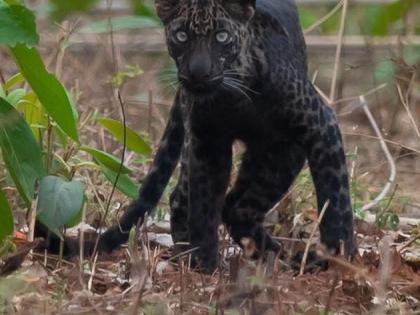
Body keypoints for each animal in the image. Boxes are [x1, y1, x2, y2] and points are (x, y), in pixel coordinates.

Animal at [37, 0, 356, 272]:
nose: (198, 73)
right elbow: (204, 204)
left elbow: (336, 199)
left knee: (238, 207)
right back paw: (198, 253)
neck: (236, 99)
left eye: (222, 36)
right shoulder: (207, 142)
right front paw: (205, 265)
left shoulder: (321, 126)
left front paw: (340, 258)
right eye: (181, 35)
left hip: (279, 154)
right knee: (192, 198)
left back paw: (273, 255)